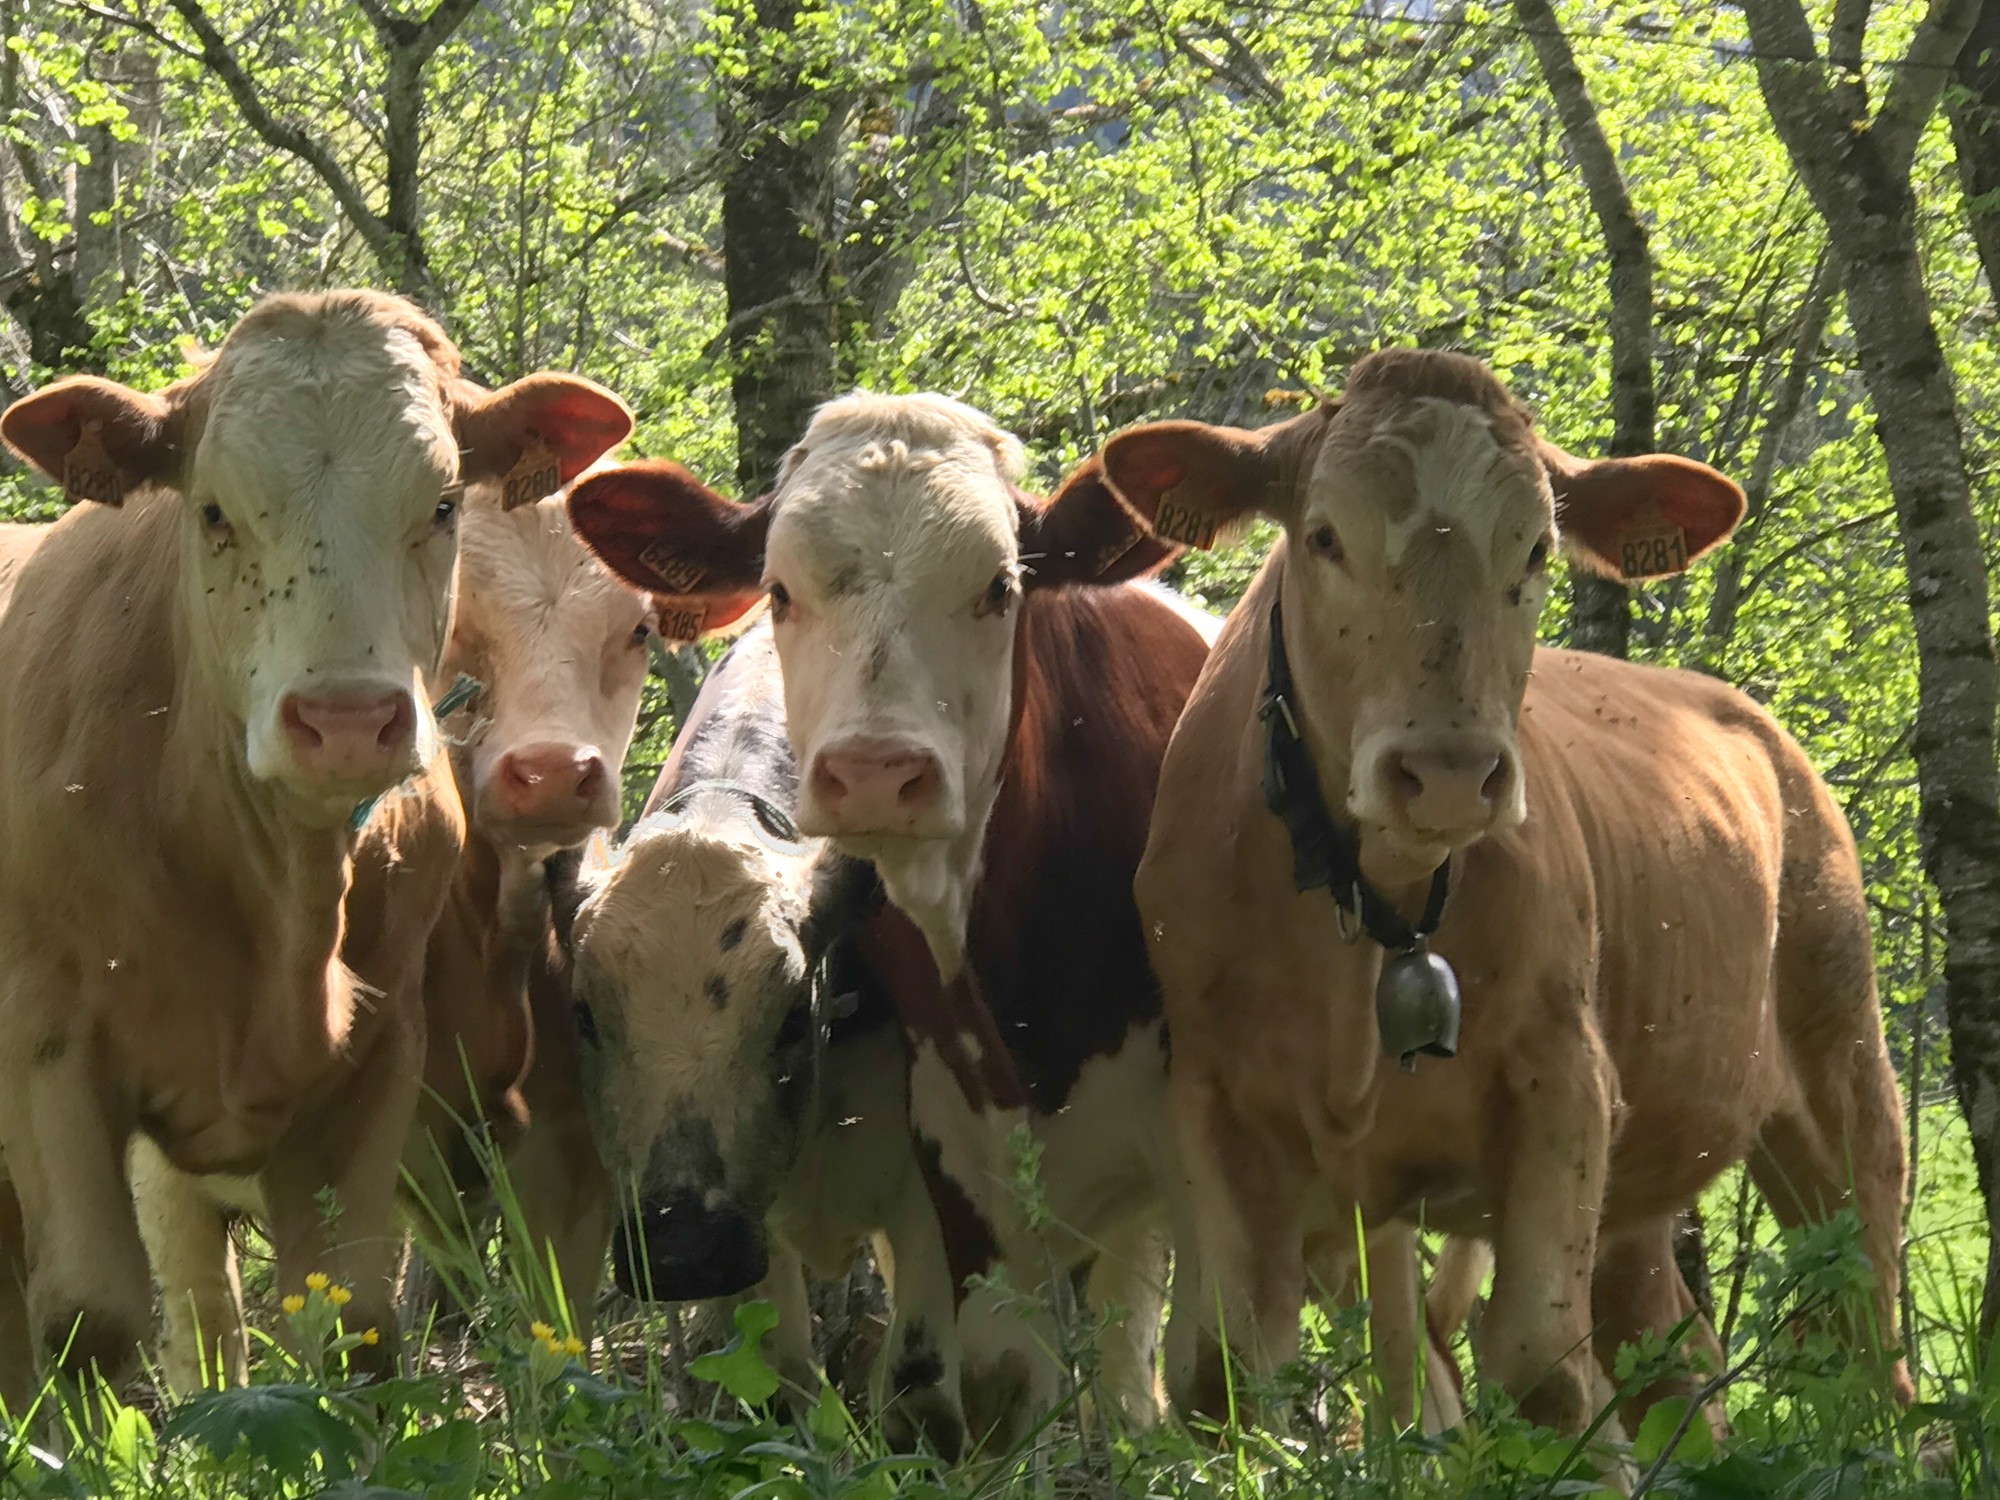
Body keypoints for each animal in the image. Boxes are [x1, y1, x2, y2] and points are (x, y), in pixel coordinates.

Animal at [0, 290, 632, 1408]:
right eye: (213, 511)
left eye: (442, 506)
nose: (344, 720)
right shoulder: (45, 1037)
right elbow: (91, 1320)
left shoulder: (379, 1057)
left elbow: (356, 1324)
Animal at [1080, 350, 1904, 1448]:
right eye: (1324, 535)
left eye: (1536, 547)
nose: (1445, 773)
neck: (1373, 906)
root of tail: (1758, 730)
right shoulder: (1213, 1098)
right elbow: (1224, 1371)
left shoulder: (1563, 1082)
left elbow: (1538, 1364)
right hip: (1645, 1187)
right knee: (1667, 1348)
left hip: (1839, 1068)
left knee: (1865, 1330)